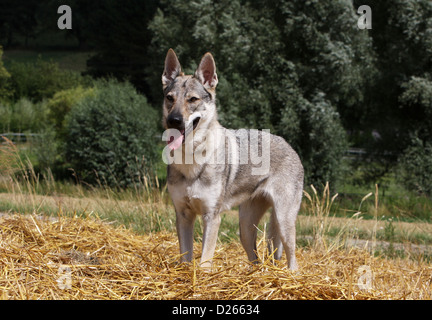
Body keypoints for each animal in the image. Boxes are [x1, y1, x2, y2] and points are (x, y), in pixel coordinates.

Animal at [162, 49, 304, 270]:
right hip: (245, 228)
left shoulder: (212, 217)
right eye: (170, 98)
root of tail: (290, 146)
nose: (173, 120)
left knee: (293, 260)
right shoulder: (183, 215)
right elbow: (186, 257)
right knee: (255, 259)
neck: (191, 159)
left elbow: (204, 261)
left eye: (192, 99)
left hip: (283, 221)